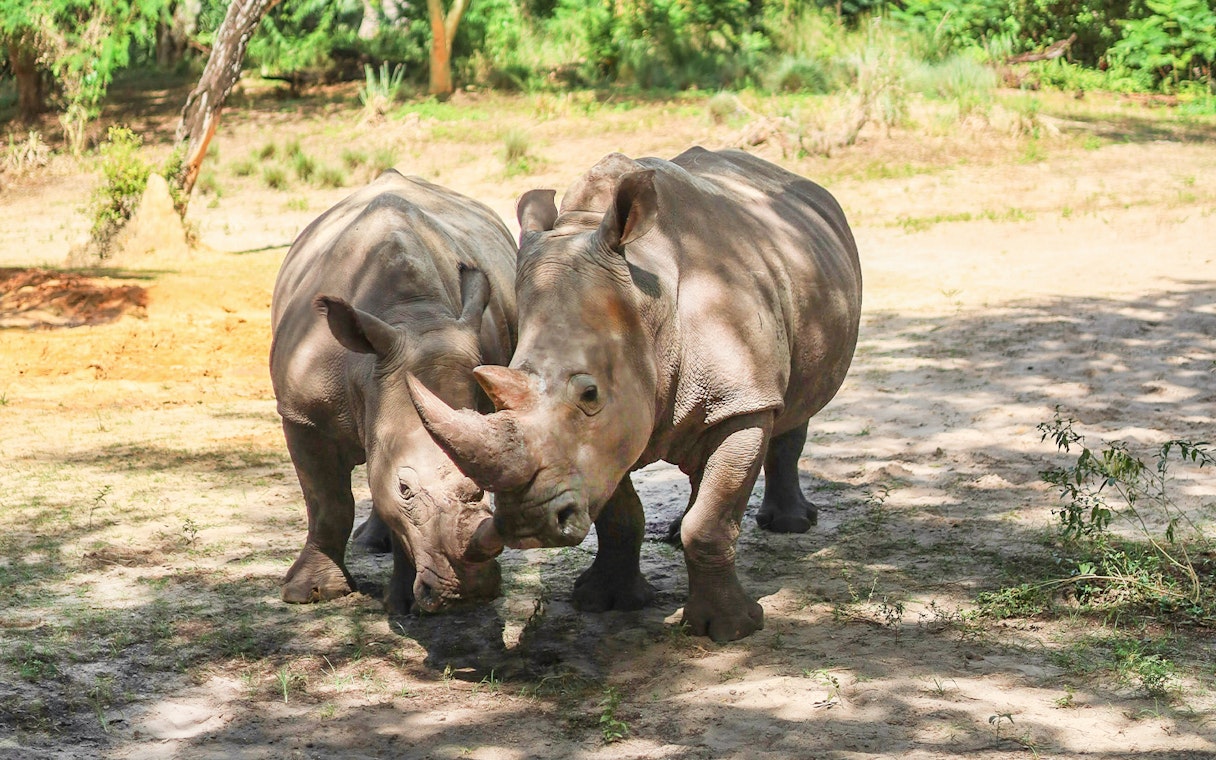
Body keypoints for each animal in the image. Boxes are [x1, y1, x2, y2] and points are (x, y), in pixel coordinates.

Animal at [269, 169, 517, 614]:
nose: (470, 592)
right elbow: (327, 503)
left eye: (480, 489)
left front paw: (404, 606)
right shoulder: (300, 414)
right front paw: (309, 593)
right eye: (405, 488)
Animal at [408, 147, 862, 641]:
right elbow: (620, 514)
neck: (649, 305)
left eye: (590, 394)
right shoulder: (613, 429)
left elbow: (712, 521)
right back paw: (678, 530)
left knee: (794, 408)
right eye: (495, 388)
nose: (526, 524)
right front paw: (605, 602)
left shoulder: (742, 401)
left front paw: (729, 630)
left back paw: (790, 526)